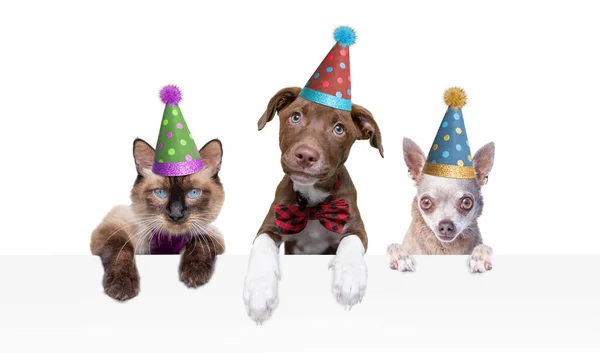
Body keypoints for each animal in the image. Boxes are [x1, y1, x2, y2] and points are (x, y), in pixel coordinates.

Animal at [244, 86, 384, 324]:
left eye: (339, 129)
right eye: (296, 117)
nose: (306, 155)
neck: (312, 203)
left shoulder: (356, 227)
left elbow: (351, 242)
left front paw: (350, 278)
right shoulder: (270, 225)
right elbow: (261, 246)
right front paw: (259, 292)